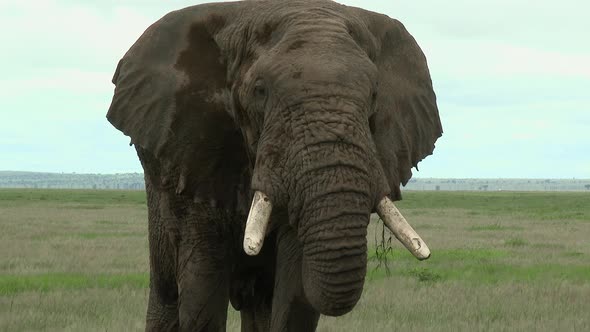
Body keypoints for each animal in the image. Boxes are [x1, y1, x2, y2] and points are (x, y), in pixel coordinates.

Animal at [106, 0, 442, 330]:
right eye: (260, 91)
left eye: (374, 94)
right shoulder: (195, 148)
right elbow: (202, 290)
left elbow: (294, 293)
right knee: (167, 298)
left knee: (260, 302)